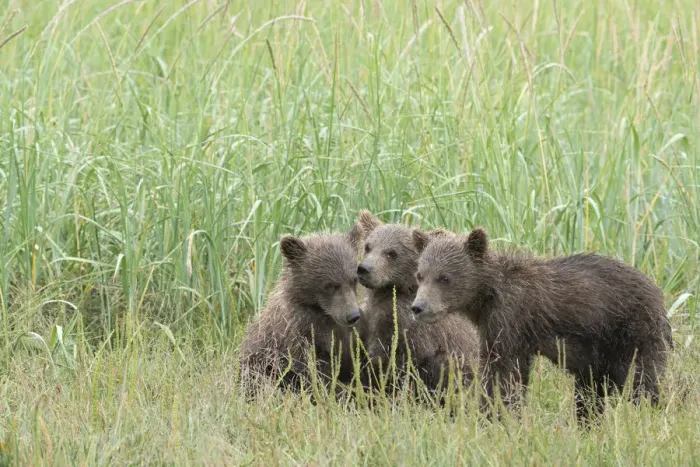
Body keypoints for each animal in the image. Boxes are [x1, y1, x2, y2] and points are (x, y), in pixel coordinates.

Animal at [411, 227, 673, 421]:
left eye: (444, 278)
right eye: (420, 275)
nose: (418, 307)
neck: (487, 296)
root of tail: (659, 293)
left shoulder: (510, 318)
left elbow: (502, 373)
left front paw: (494, 414)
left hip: (631, 332)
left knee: (642, 380)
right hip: (599, 357)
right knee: (590, 394)